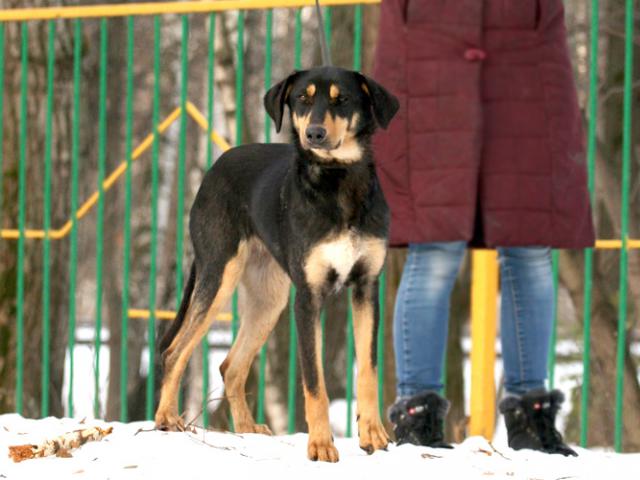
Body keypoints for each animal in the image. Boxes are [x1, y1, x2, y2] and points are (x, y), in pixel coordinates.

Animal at [155, 65, 398, 464]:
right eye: (301, 98)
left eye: (342, 99)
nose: (314, 134)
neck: (339, 181)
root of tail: (213, 169)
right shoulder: (308, 299)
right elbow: (314, 381)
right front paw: (320, 445)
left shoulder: (366, 289)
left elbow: (368, 370)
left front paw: (373, 436)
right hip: (219, 275)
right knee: (175, 351)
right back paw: (166, 418)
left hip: (269, 300)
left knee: (231, 366)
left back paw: (246, 429)